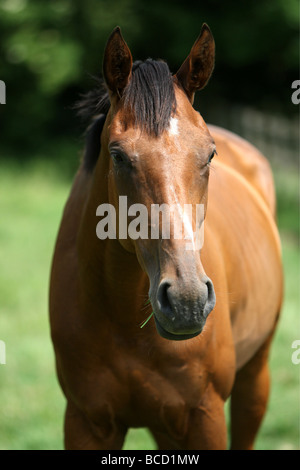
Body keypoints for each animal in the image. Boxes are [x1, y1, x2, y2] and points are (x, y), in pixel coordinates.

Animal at [48, 26, 282, 452]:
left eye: (209, 154)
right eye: (118, 155)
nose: (187, 301)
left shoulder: (205, 417)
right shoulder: (86, 421)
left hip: (254, 378)